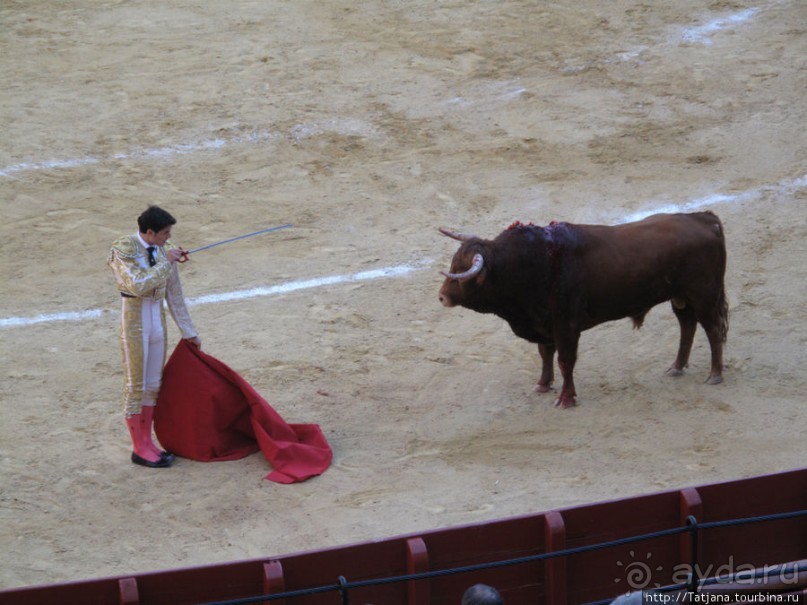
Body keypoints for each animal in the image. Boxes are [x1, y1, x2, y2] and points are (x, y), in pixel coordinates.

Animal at [438, 211, 728, 406]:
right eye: (453, 263)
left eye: (462, 272)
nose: (441, 297)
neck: (531, 262)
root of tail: (705, 218)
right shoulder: (545, 323)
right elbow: (545, 354)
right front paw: (543, 385)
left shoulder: (566, 325)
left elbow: (565, 360)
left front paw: (566, 399)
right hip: (680, 297)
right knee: (687, 325)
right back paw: (676, 367)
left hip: (703, 295)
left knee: (712, 329)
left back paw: (715, 375)